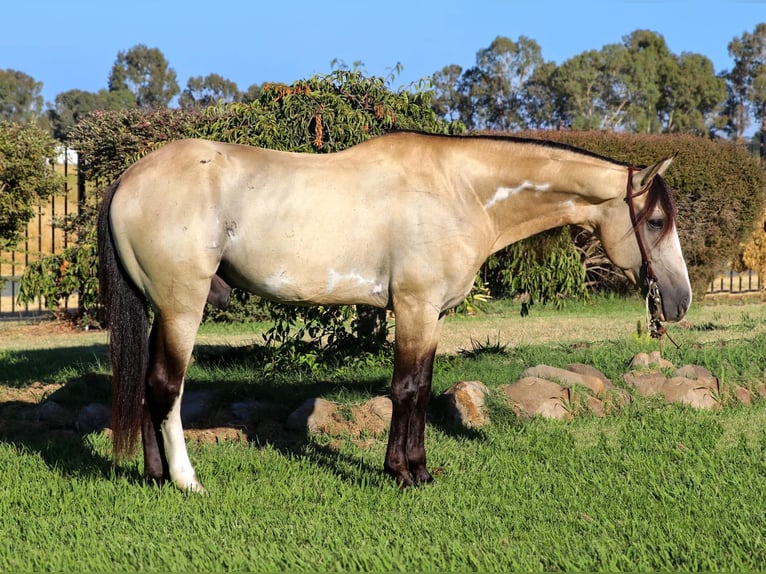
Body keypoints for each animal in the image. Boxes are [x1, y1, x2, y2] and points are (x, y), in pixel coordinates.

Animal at [97, 131, 692, 492]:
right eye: (656, 221)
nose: (680, 301)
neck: (461, 189)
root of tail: (128, 177)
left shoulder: (434, 315)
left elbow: (422, 389)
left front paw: (420, 471)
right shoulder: (414, 306)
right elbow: (405, 389)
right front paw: (402, 474)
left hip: (159, 309)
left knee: (147, 385)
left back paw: (154, 476)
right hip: (182, 305)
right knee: (166, 388)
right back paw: (186, 480)